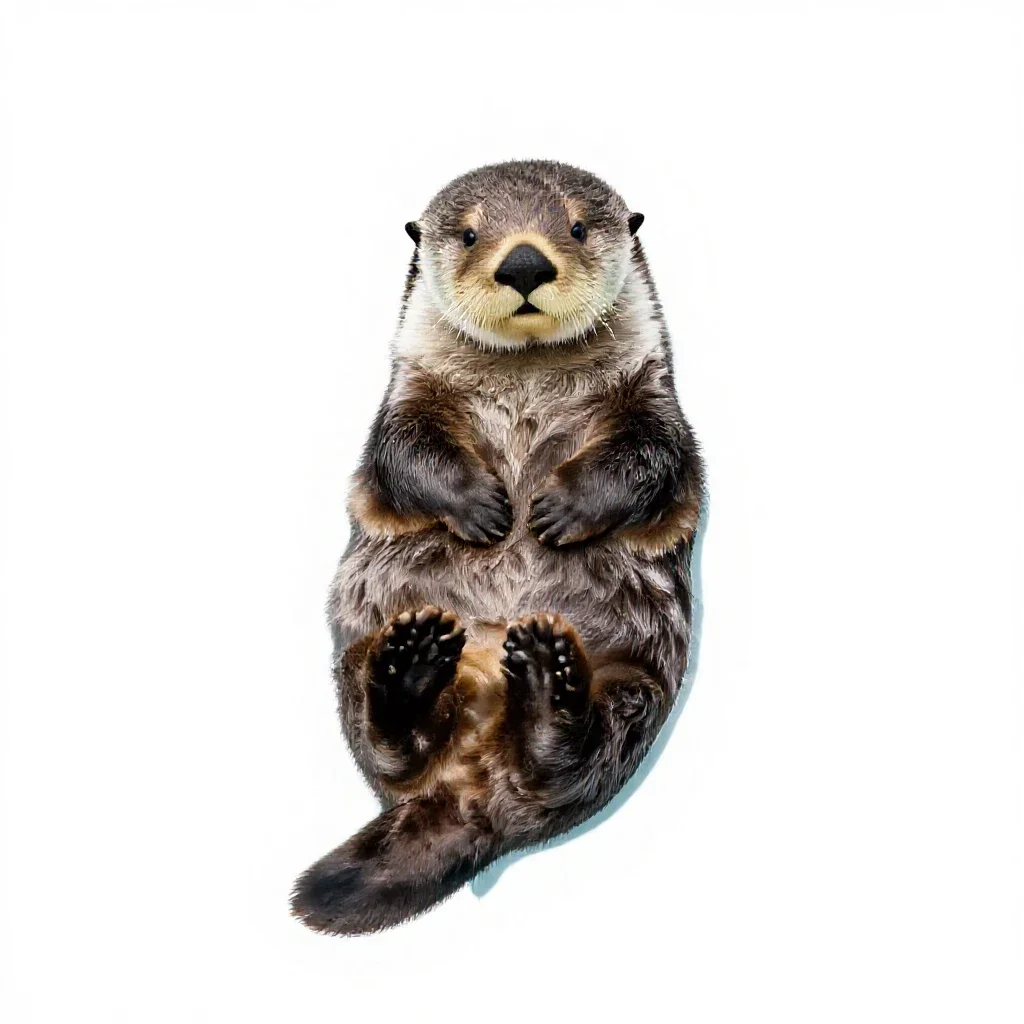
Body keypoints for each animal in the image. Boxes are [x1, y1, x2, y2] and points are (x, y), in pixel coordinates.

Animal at [291, 160, 705, 934]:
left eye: (576, 225)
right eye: (469, 233)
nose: (524, 264)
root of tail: (474, 792)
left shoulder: (654, 394)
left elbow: (649, 458)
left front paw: (556, 511)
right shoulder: (408, 388)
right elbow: (405, 452)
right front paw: (485, 510)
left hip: (635, 688)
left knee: (566, 758)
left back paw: (545, 684)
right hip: (352, 663)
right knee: (391, 745)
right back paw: (412, 666)